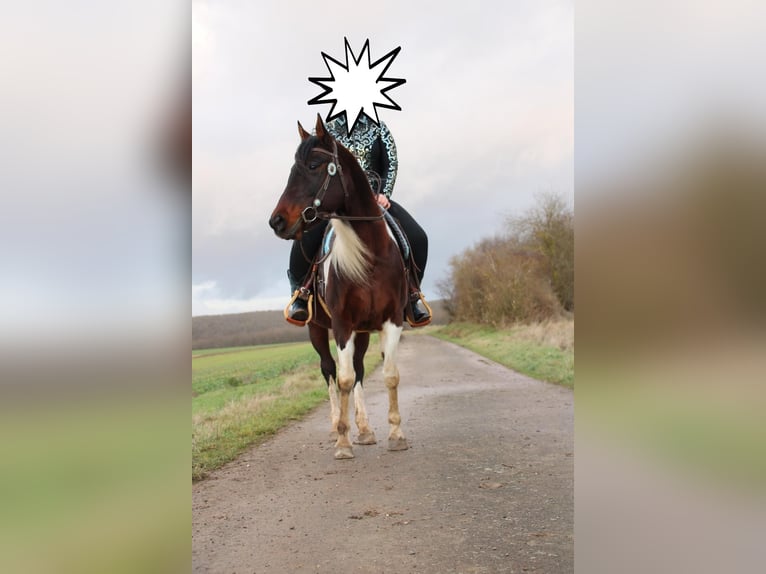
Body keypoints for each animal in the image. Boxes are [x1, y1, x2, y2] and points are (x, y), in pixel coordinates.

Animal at [269, 114, 409, 460]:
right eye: (292, 169)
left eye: (314, 165)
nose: (277, 221)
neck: (370, 254)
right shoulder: (342, 323)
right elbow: (342, 378)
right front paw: (343, 441)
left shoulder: (392, 320)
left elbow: (388, 375)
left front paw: (395, 434)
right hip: (317, 329)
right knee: (329, 369)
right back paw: (336, 425)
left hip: (362, 331)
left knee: (358, 369)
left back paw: (365, 428)